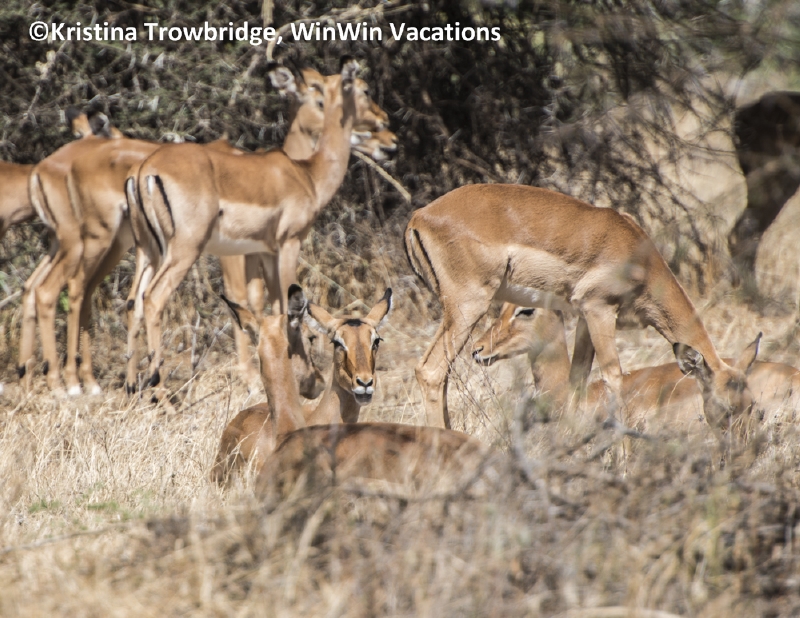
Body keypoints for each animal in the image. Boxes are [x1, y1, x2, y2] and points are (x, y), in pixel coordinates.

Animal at [126, 58, 392, 397]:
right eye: (364, 89)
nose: (385, 127)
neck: (306, 174)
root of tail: (144, 169)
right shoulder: (288, 243)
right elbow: (289, 305)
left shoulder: (264, 250)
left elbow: (271, 305)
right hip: (184, 249)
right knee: (154, 299)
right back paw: (159, 391)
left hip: (147, 250)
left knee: (133, 301)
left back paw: (132, 387)